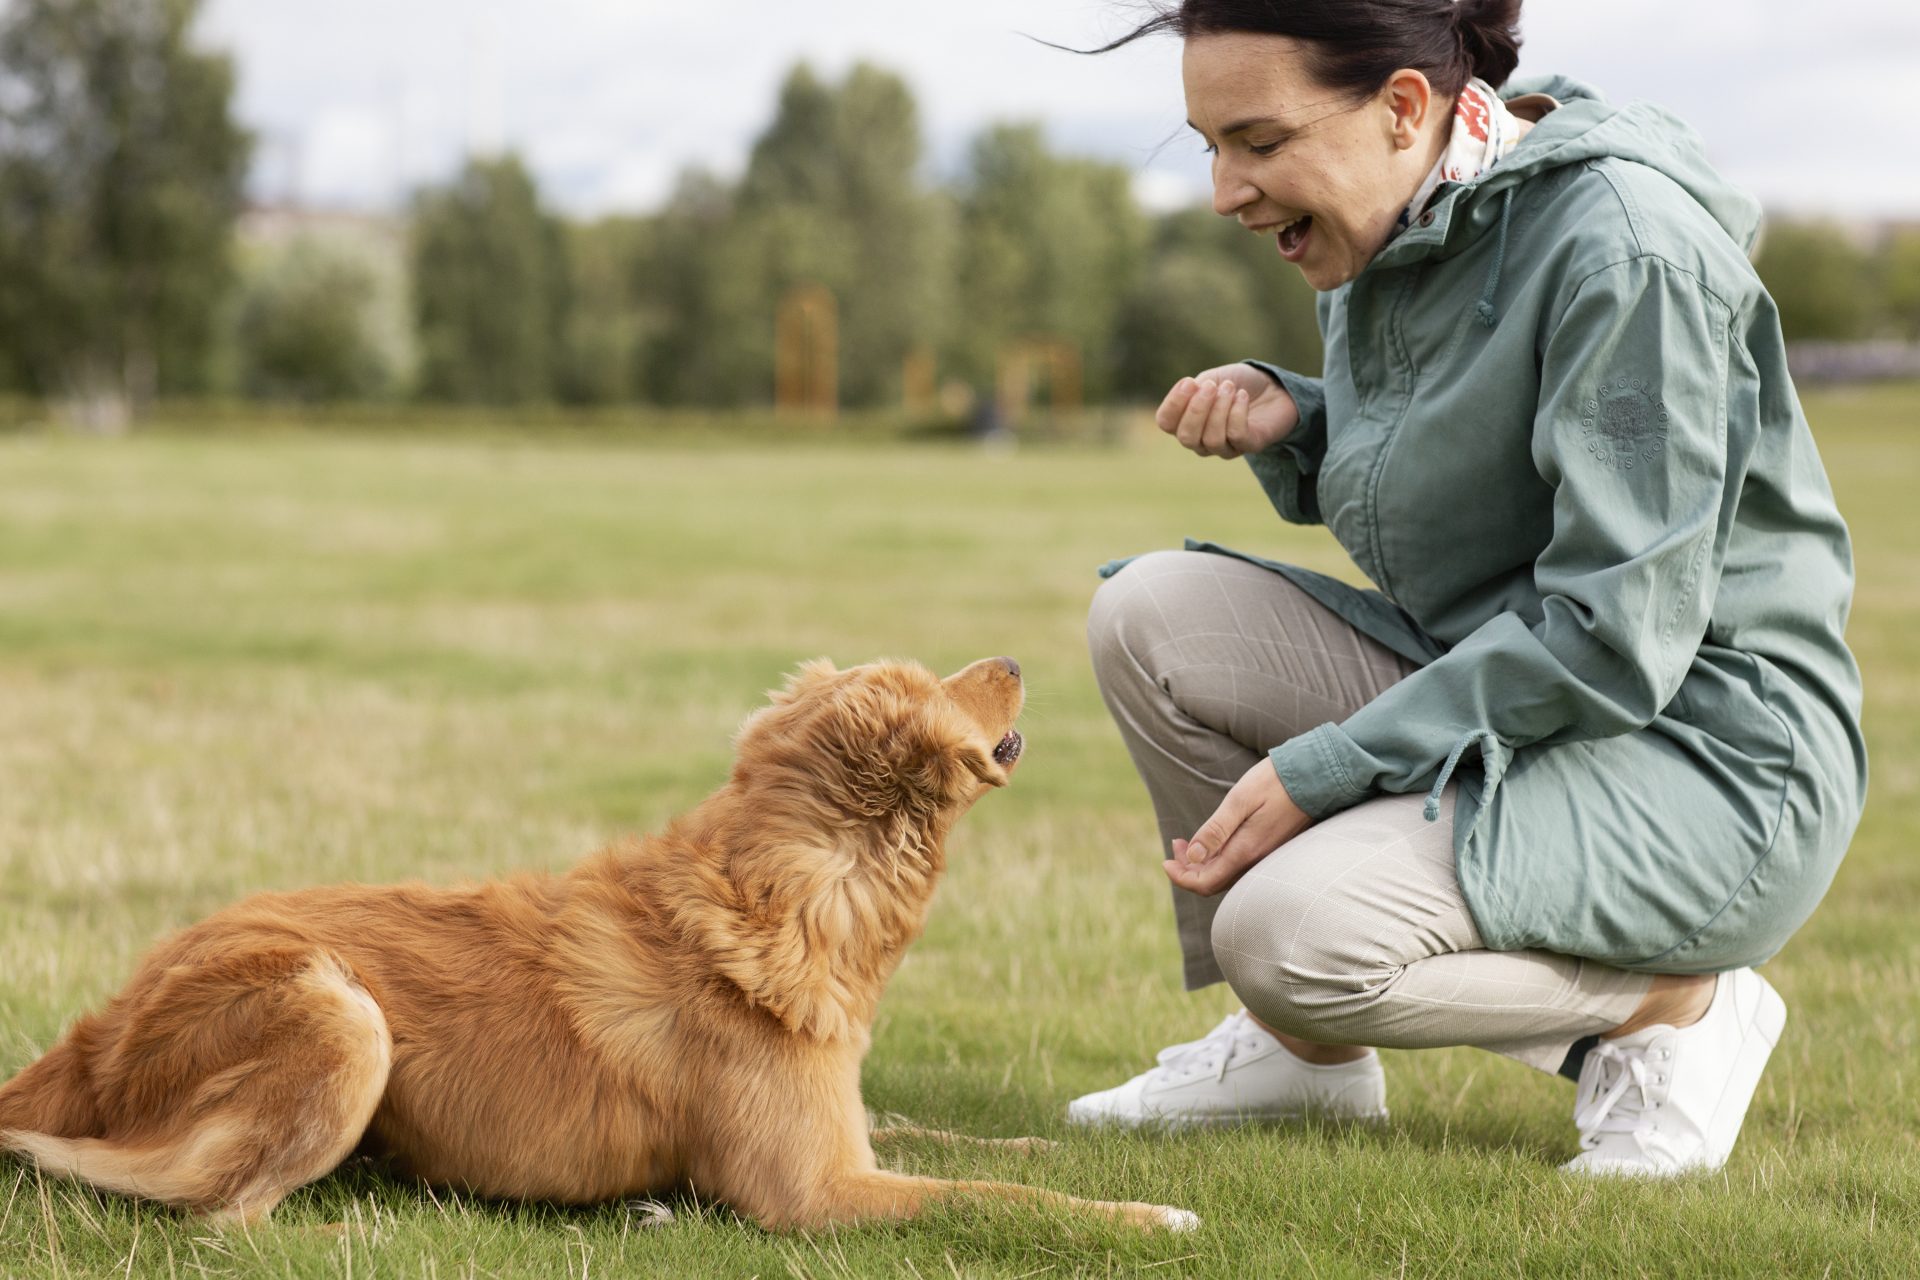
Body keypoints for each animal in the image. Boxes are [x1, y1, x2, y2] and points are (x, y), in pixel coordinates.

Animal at [0, 660, 1198, 1228]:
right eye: (930, 680)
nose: (1011, 654)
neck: (790, 894)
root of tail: (96, 1036)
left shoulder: (849, 1133)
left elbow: (980, 1146)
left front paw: (1093, 1147)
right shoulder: (813, 1193)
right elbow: (1001, 1198)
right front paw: (1154, 1211)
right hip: (344, 1016)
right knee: (215, 1211)